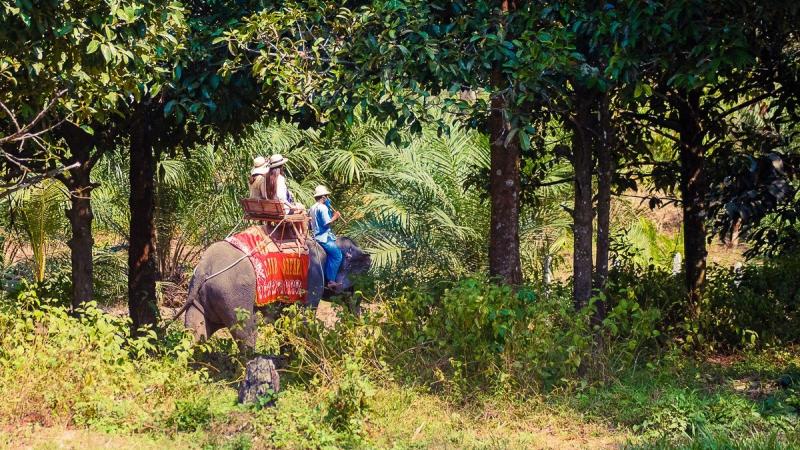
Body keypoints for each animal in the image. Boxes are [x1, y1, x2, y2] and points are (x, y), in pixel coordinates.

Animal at [180, 236, 372, 353]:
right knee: (247, 333)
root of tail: (204, 268)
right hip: (232, 295)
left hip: (203, 296)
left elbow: (283, 319)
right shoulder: (314, 277)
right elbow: (304, 318)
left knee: (195, 332)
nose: (359, 325)